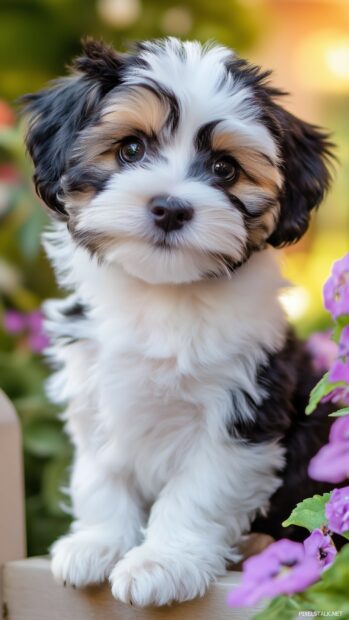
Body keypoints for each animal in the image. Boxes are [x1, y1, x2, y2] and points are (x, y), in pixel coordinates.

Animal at [23, 37, 334, 604]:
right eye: (130, 150)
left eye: (226, 169)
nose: (170, 207)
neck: (163, 292)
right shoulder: (94, 387)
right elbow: (100, 475)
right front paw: (97, 543)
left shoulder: (242, 409)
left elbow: (198, 490)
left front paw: (161, 562)